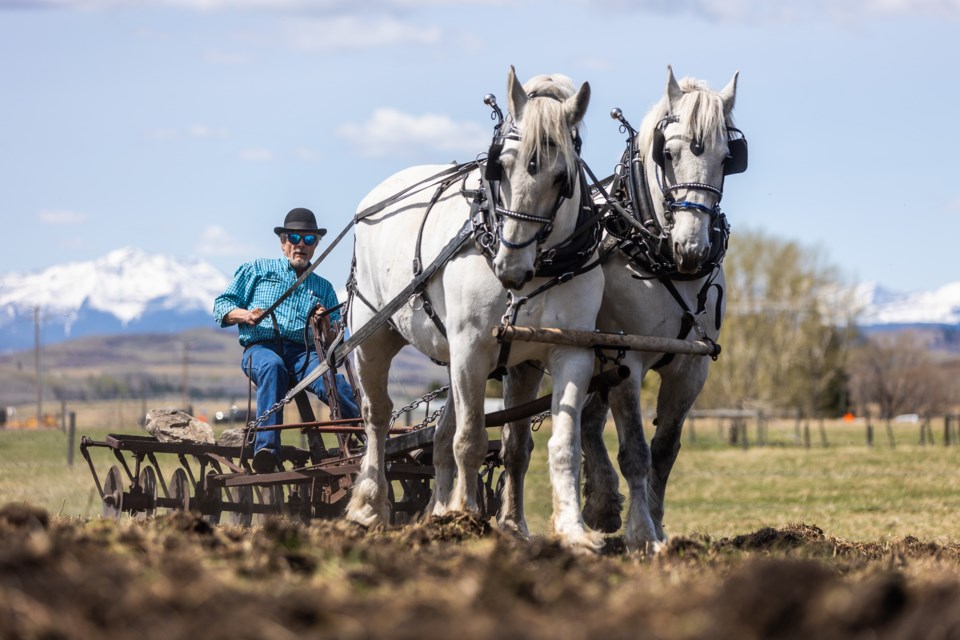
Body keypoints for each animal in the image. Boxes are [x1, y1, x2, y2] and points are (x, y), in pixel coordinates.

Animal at [342, 67, 604, 552]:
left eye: (563, 177)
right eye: (499, 167)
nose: (509, 268)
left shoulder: (564, 353)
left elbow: (547, 446)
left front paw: (564, 530)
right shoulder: (472, 348)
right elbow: (470, 439)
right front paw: (465, 518)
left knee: (440, 432)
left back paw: (435, 511)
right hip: (373, 338)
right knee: (378, 417)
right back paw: (369, 507)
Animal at [576, 69, 744, 552]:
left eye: (729, 159)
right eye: (667, 153)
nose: (692, 247)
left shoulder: (692, 367)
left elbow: (665, 451)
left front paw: (656, 522)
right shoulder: (625, 358)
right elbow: (635, 450)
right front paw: (641, 535)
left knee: (586, 419)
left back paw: (600, 504)